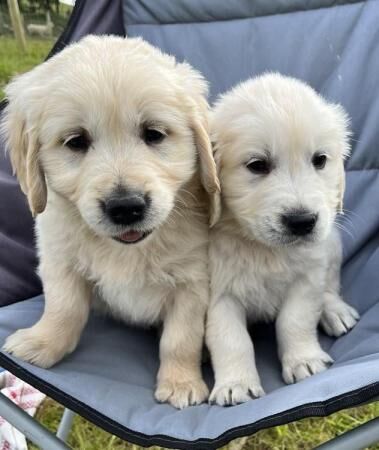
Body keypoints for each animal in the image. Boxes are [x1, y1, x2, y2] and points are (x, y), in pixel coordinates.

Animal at [0, 35, 220, 408]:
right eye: (75, 141)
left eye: (154, 134)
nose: (126, 207)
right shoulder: (59, 260)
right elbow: (65, 307)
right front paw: (42, 342)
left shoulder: (193, 281)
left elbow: (180, 338)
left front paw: (181, 383)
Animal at [208, 73, 360, 404]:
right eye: (257, 165)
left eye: (320, 160)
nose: (302, 222)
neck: (262, 248)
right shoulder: (214, 293)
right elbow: (231, 339)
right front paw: (235, 384)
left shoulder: (307, 278)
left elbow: (295, 321)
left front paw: (305, 361)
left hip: (332, 244)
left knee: (331, 286)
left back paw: (336, 311)